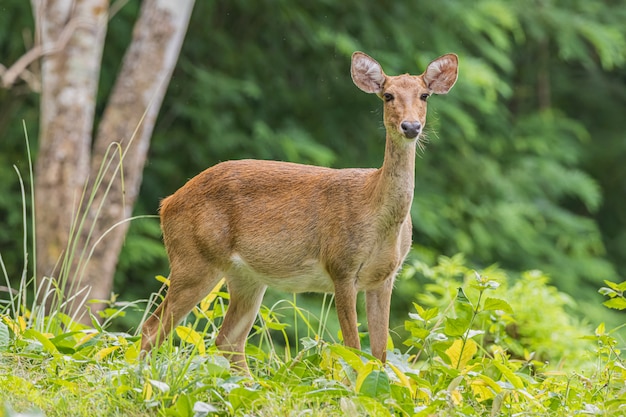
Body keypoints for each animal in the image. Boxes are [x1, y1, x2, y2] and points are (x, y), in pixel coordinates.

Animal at [139, 50, 456, 372]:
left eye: (424, 95)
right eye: (388, 95)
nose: (411, 127)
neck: (376, 214)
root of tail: (167, 204)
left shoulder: (384, 277)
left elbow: (378, 356)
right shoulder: (341, 266)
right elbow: (353, 350)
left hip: (245, 276)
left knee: (228, 340)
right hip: (193, 258)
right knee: (152, 328)